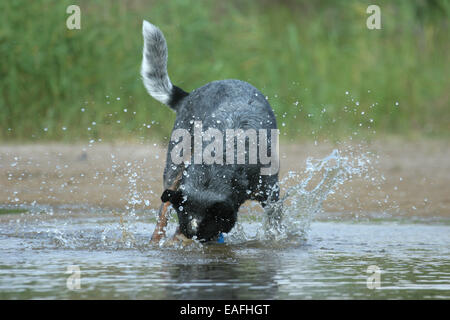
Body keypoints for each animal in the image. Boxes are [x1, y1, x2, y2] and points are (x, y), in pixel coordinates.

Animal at [142, 20, 282, 242]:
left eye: (207, 235)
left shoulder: (270, 192)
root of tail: (189, 95)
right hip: (174, 166)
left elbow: (274, 224)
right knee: (163, 209)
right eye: (186, 230)